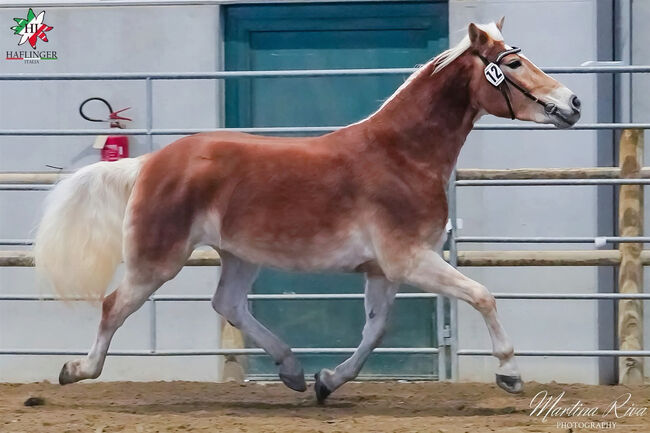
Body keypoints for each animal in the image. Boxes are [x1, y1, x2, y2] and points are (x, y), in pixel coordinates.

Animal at [34, 18, 580, 402]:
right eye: (513, 65)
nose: (572, 103)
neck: (401, 154)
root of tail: (150, 161)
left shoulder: (383, 270)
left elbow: (377, 329)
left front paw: (327, 381)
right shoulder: (409, 259)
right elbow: (482, 295)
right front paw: (510, 374)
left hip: (240, 256)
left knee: (228, 304)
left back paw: (294, 371)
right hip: (157, 259)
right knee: (114, 305)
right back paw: (75, 370)